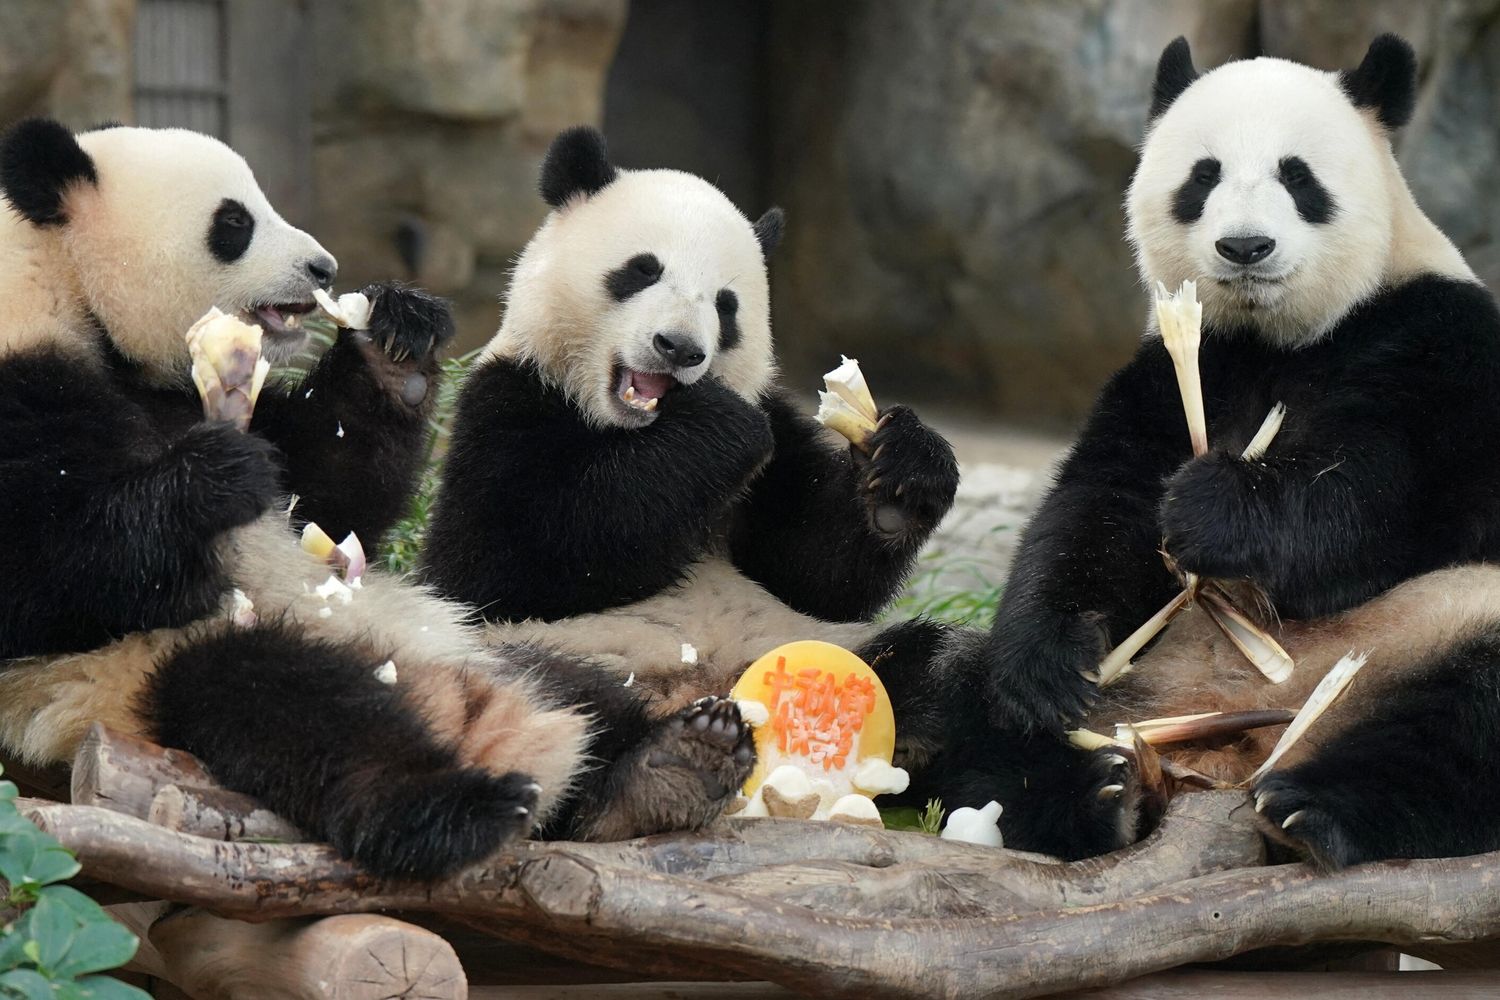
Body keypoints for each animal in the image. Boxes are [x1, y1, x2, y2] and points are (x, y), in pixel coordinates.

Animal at [0, 119, 759, 875]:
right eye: (234, 222)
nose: (323, 269)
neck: (64, 283)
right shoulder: (25, 379)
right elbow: (55, 573)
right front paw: (215, 476)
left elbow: (331, 495)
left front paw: (393, 344)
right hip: (141, 675)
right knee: (296, 712)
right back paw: (457, 808)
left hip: (479, 639)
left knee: (584, 689)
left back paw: (672, 760)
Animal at [419, 126, 969, 824]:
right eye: (642, 270)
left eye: (726, 306)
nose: (679, 348)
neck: (633, 431)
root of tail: (703, 688)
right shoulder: (505, 402)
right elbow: (505, 555)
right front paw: (719, 429)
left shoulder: (781, 435)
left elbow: (817, 573)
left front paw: (902, 473)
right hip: (541, 647)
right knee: (543, 697)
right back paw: (664, 772)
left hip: (834, 645)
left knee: (948, 667)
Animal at [923, 34, 1500, 868]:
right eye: (1204, 176)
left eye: (1298, 176)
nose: (1245, 246)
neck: (1278, 338)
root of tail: (1227, 749)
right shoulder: (1175, 370)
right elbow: (1100, 505)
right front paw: (1051, 665)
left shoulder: (1441, 342)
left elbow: (1388, 501)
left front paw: (1215, 509)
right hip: (1133, 684)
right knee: (957, 685)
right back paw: (1095, 795)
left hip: (1440, 621)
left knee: (1468, 718)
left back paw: (1315, 810)